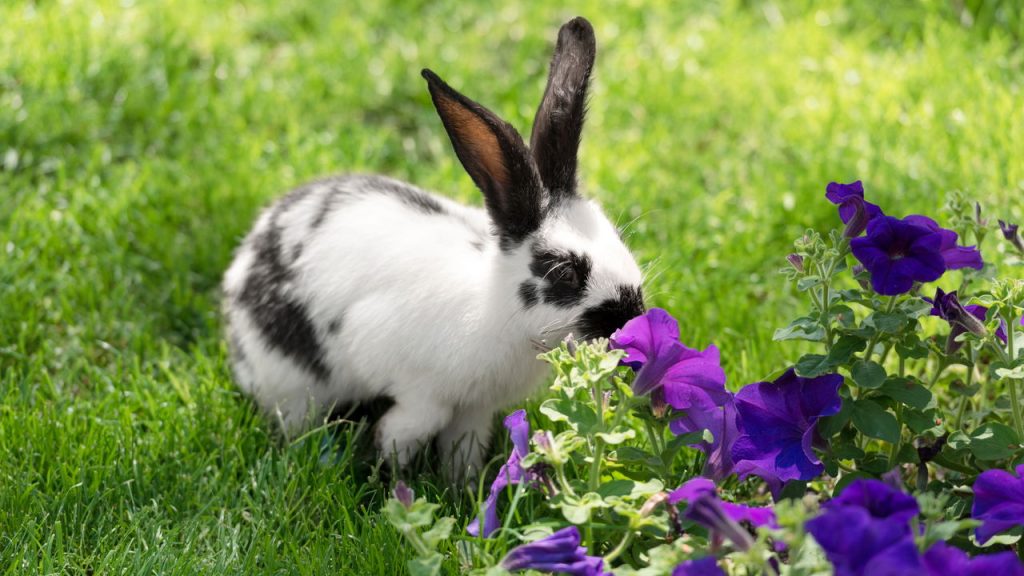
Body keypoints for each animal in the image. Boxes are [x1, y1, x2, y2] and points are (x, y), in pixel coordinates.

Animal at [222, 16, 645, 479]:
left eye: (618, 238)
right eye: (565, 272)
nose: (632, 315)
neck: (496, 309)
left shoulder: (475, 409)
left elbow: (464, 447)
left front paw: (464, 486)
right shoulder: (416, 386)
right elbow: (409, 429)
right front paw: (391, 480)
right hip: (293, 383)